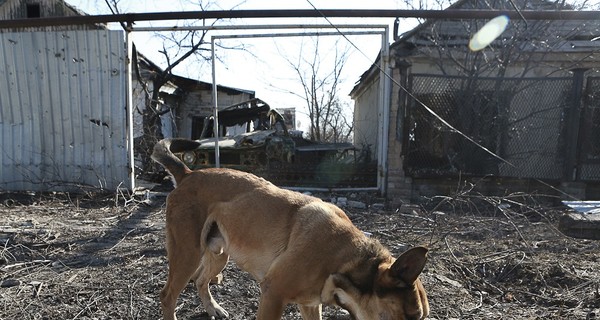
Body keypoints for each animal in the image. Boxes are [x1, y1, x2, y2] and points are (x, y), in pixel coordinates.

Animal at [152, 138, 428, 320]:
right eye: (413, 315)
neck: (345, 257)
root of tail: (188, 173)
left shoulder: (310, 304)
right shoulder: (273, 295)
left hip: (219, 254)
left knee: (200, 281)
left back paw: (213, 309)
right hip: (188, 253)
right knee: (168, 296)